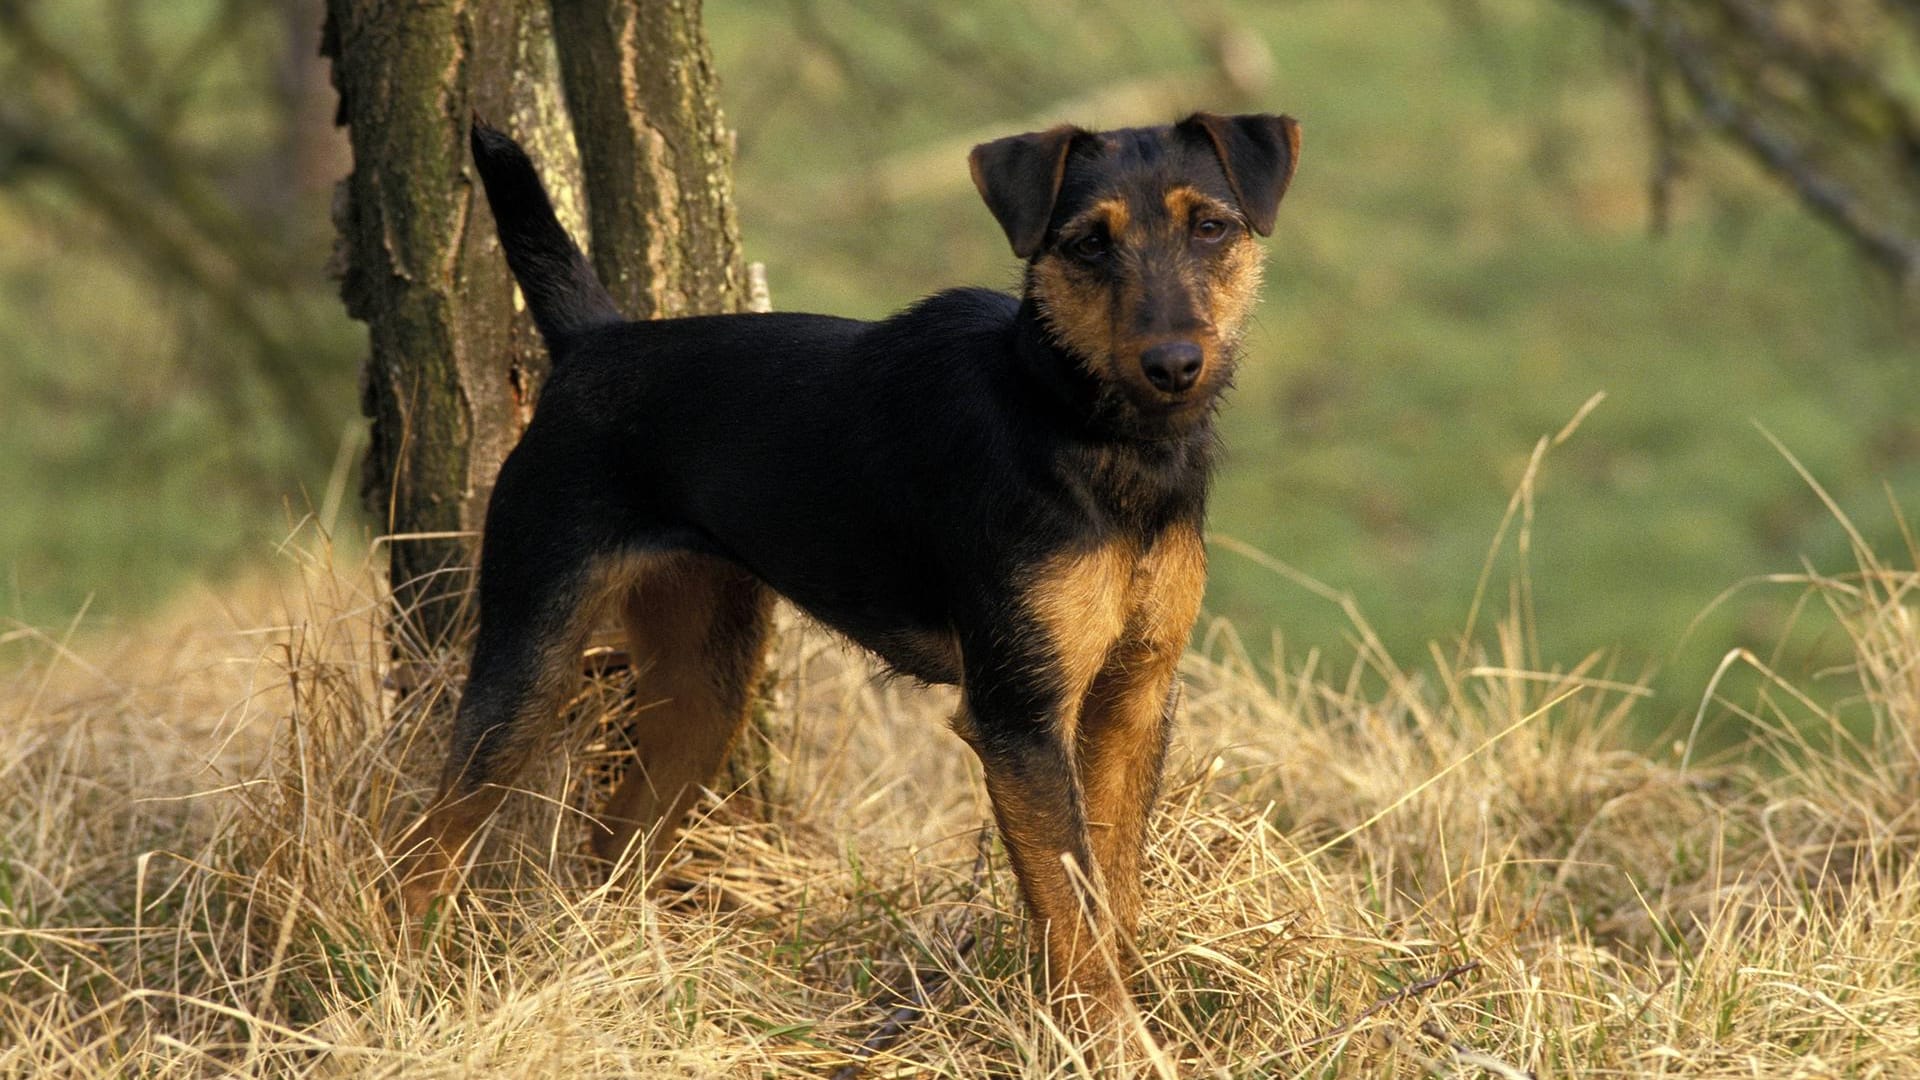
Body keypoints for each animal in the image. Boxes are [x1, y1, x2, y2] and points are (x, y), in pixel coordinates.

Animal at [403, 111, 1305, 1022]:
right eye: (1088, 244)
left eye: (1211, 227)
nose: (1174, 364)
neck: (1086, 426)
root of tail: (592, 341)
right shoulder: (1020, 717)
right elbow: (1075, 915)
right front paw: (1106, 1036)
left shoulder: (1133, 696)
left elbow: (1114, 898)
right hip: (531, 651)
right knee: (421, 849)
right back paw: (403, 978)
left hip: (705, 684)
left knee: (614, 841)